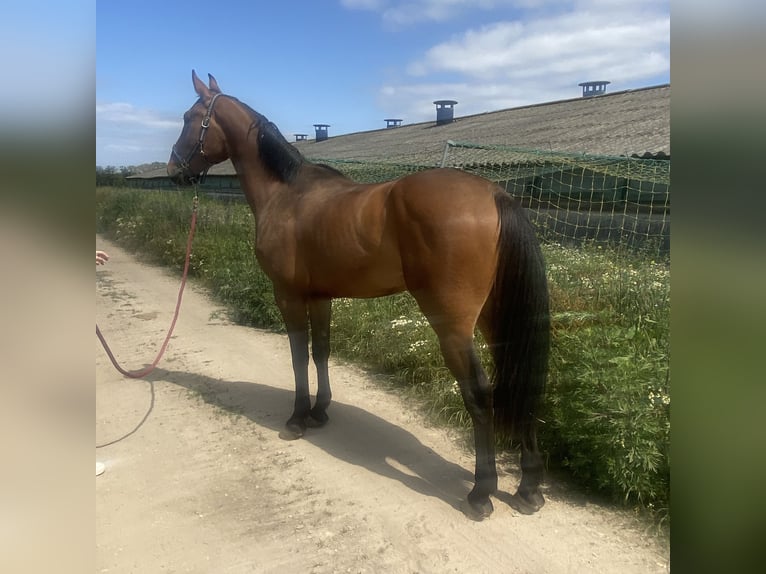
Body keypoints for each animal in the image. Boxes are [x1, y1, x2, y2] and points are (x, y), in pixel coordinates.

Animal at [168, 72, 552, 520]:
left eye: (189, 117)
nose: (174, 170)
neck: (286, 192)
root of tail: (494, 194)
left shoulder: (288, 295)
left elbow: (298, 356)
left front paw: (297, 418)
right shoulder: (320, 296)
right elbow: (321, 351)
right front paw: (320, 412)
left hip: (453, 327)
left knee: (479, 392)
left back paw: (481, 492)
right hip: (495, 318)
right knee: (520, 382)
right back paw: (528, 488)